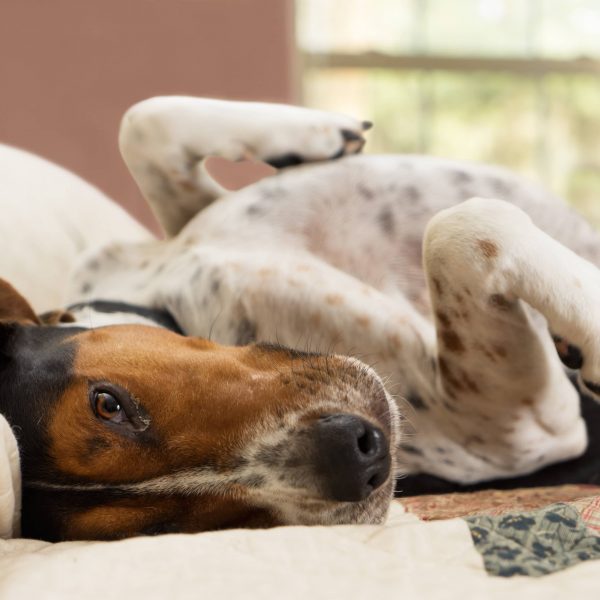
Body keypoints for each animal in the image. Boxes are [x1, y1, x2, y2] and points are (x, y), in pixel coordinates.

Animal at [3, 97, 600, 540]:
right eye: (160, 530)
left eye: (108, 403)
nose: (358, 457)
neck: (174, 297)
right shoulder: (522, 425)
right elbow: (464, 227)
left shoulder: (187, 215)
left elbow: (143, 121)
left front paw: (318, 134)